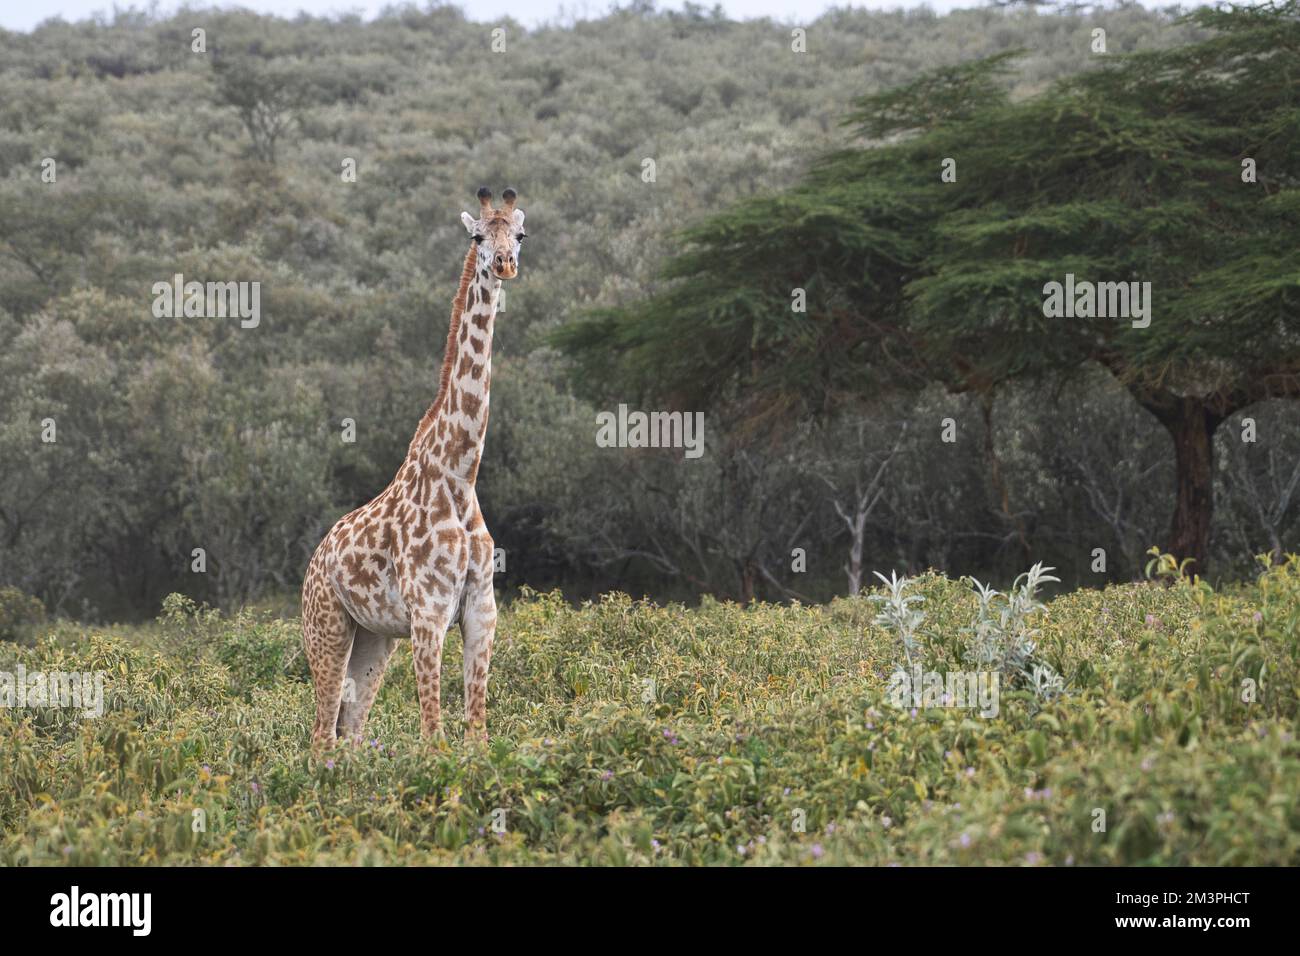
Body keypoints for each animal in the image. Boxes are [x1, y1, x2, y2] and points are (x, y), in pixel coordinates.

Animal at [300, 186, 525, 749]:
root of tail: (313, 563)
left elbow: (476, 731)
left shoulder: (482, 611)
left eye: (520, 233)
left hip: (375, 640)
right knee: (320, 737)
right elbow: (433, 734)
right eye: (477, 236)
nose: (505, 264)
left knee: (350, 735)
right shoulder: (428, 613)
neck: (460, 474)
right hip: (327, 629)